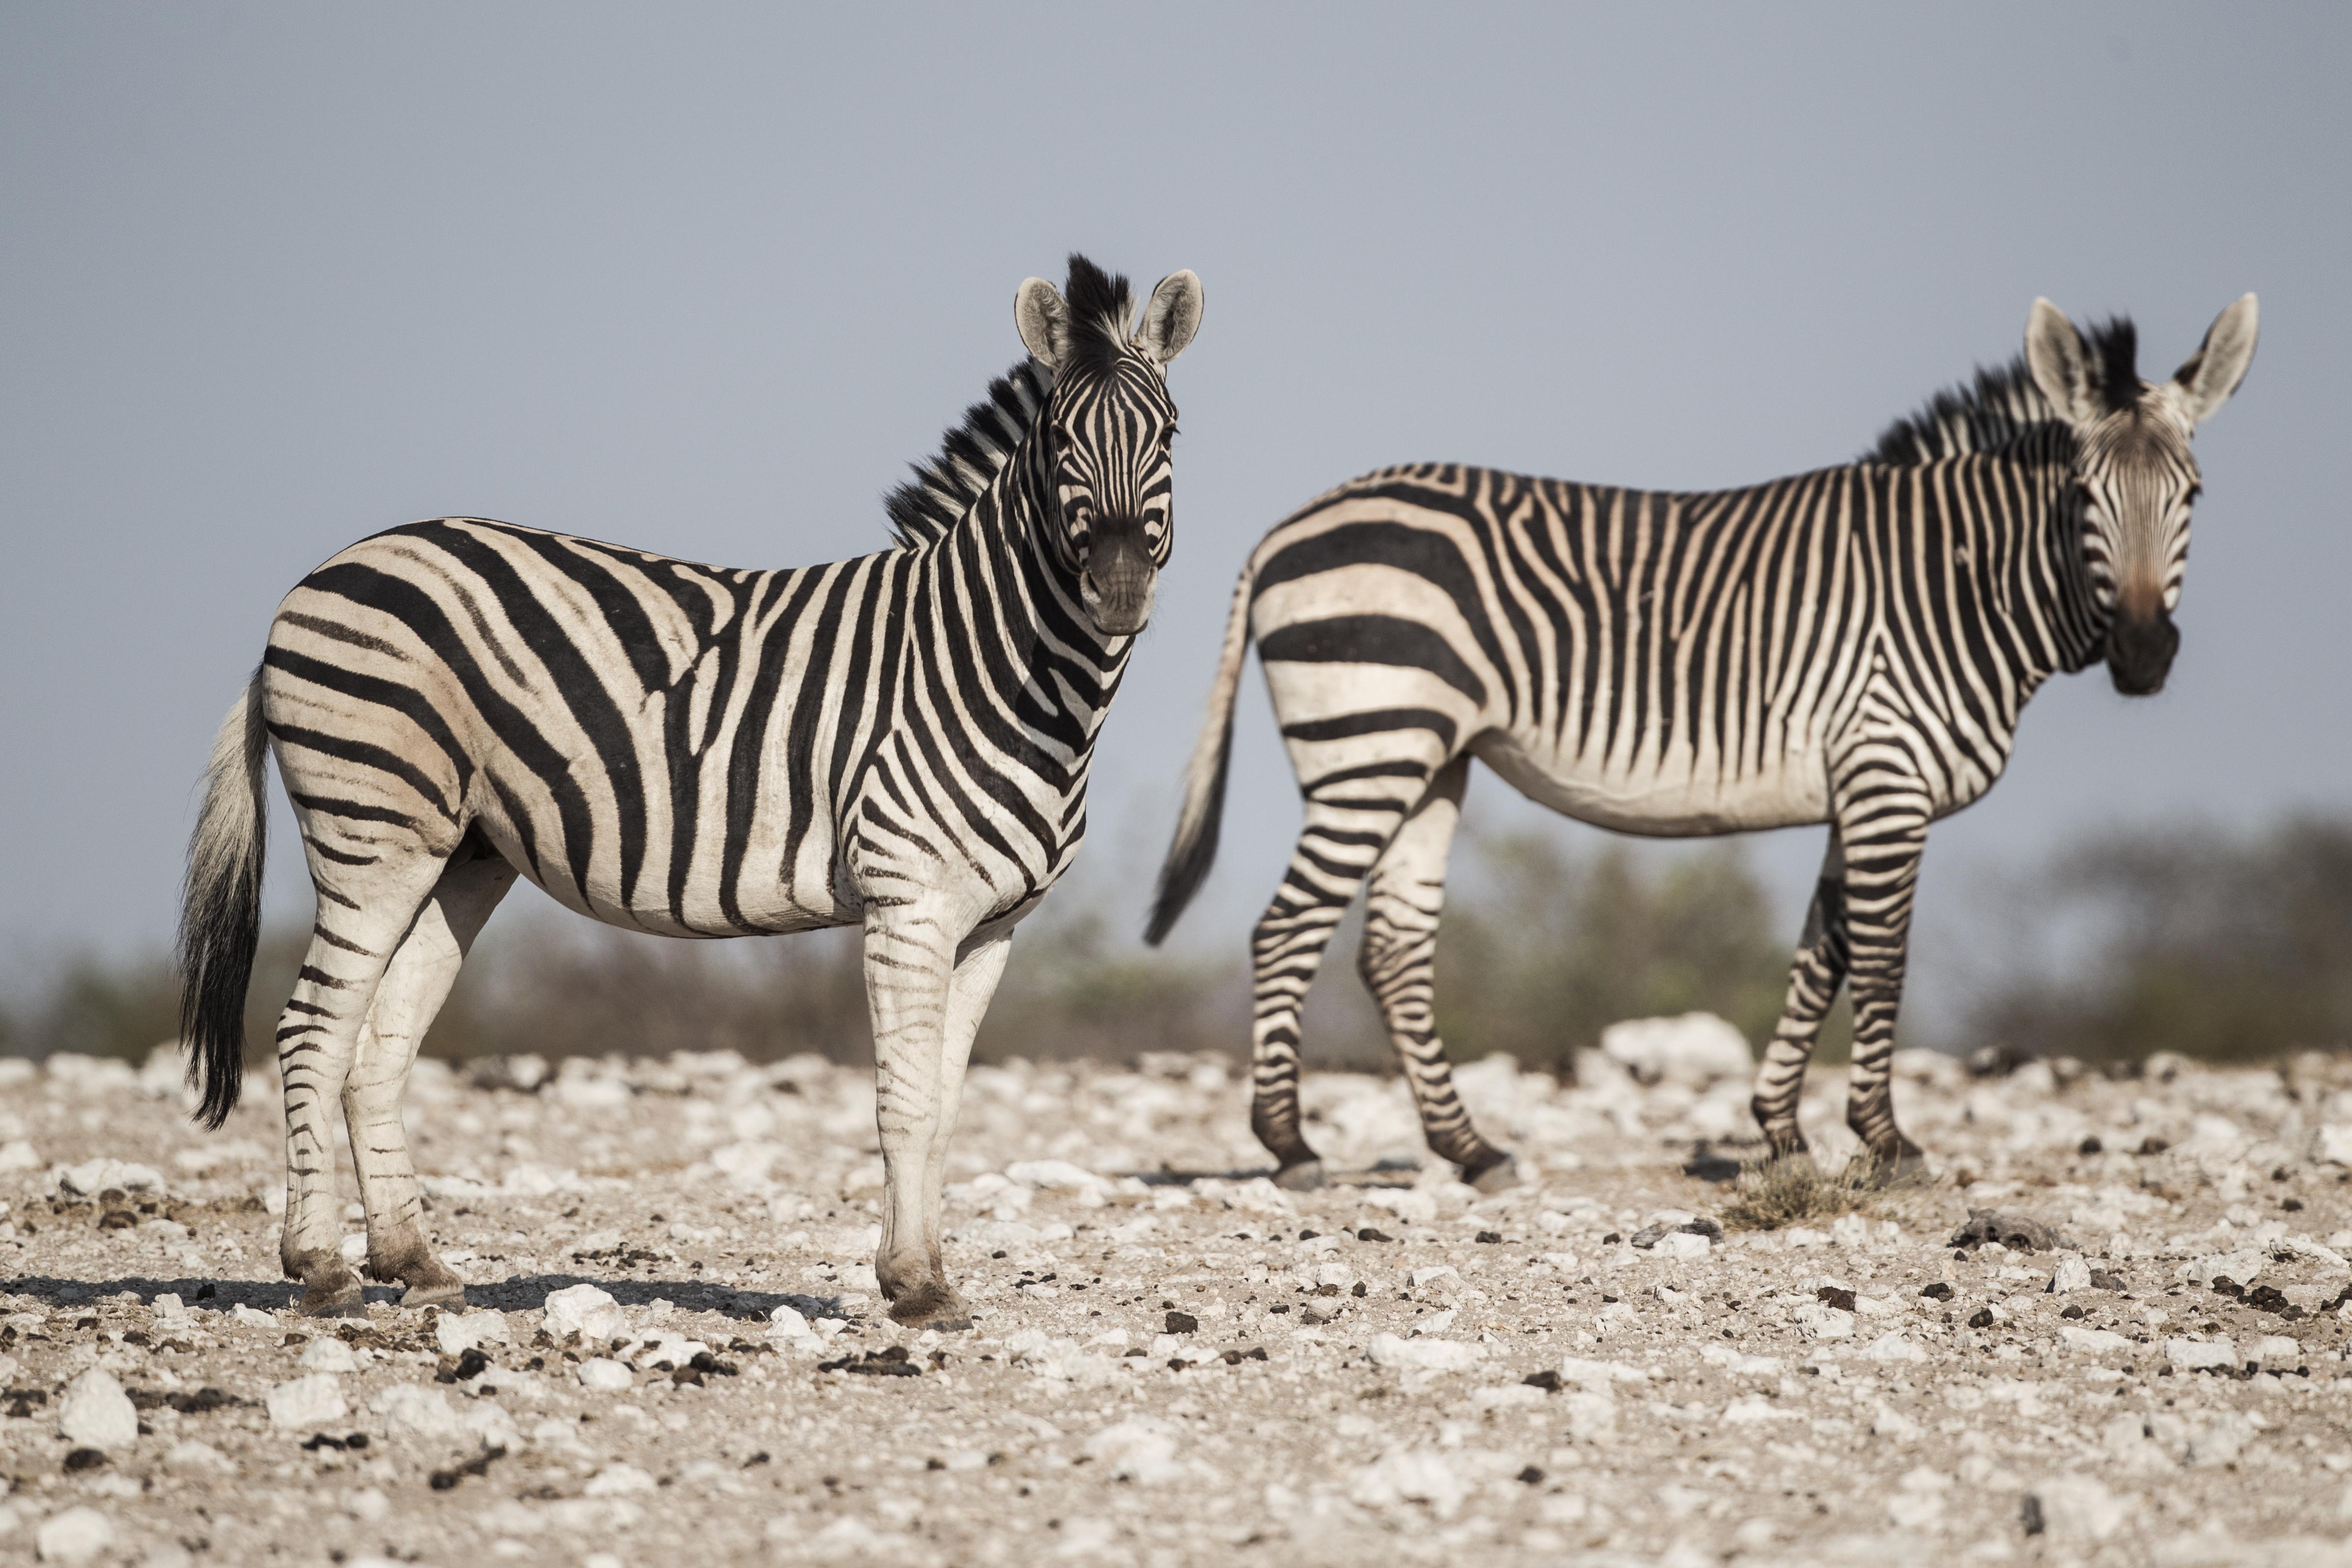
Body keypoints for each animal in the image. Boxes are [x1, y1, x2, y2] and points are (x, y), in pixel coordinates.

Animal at [174, 257, 1204, 1326]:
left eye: (1169, 434)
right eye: (1060, 439)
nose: (1119, 592)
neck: (994, 663)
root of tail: (320, 578)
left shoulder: (994, 923)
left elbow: (947, 1101)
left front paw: (923, 1275)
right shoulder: (909, 898)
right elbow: (905, 1097)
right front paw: (915, 1286)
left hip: (460, 855)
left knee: (374, 1047)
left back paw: (414, 1262)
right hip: (372, 830)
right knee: (311, 1030)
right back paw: (321, 1268)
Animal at [1147, 294, 2248, 1189]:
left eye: (2192, 496)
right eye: (2085, 498)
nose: (2143, 656)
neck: (1956, 583)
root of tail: (1285, 528)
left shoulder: (1858, 785)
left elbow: (1822, 952)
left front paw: (1782, 1132)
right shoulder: (1887, 777)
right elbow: (1882, 957)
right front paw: (1888, 1143)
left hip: (1429, 758)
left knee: (1391, 949)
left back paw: (1471, 1150)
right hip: (1370, 744)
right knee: (1288, 928)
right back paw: (1291, 1146)